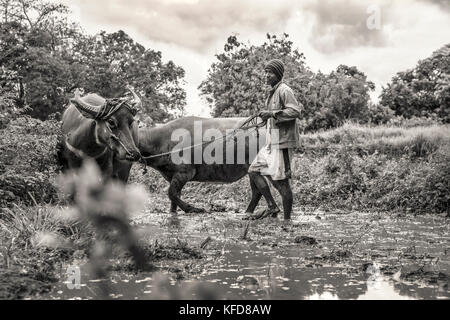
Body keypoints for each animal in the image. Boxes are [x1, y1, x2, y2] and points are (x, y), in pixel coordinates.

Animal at [138, 116, 268, 214]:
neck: (162, 140)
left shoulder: (184, 173)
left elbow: (171, 193)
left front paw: (193, 209)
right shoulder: (172, 176)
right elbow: (175, 197)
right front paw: (173, 212)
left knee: (258, 190)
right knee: (257, 192)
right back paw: (248, 212)